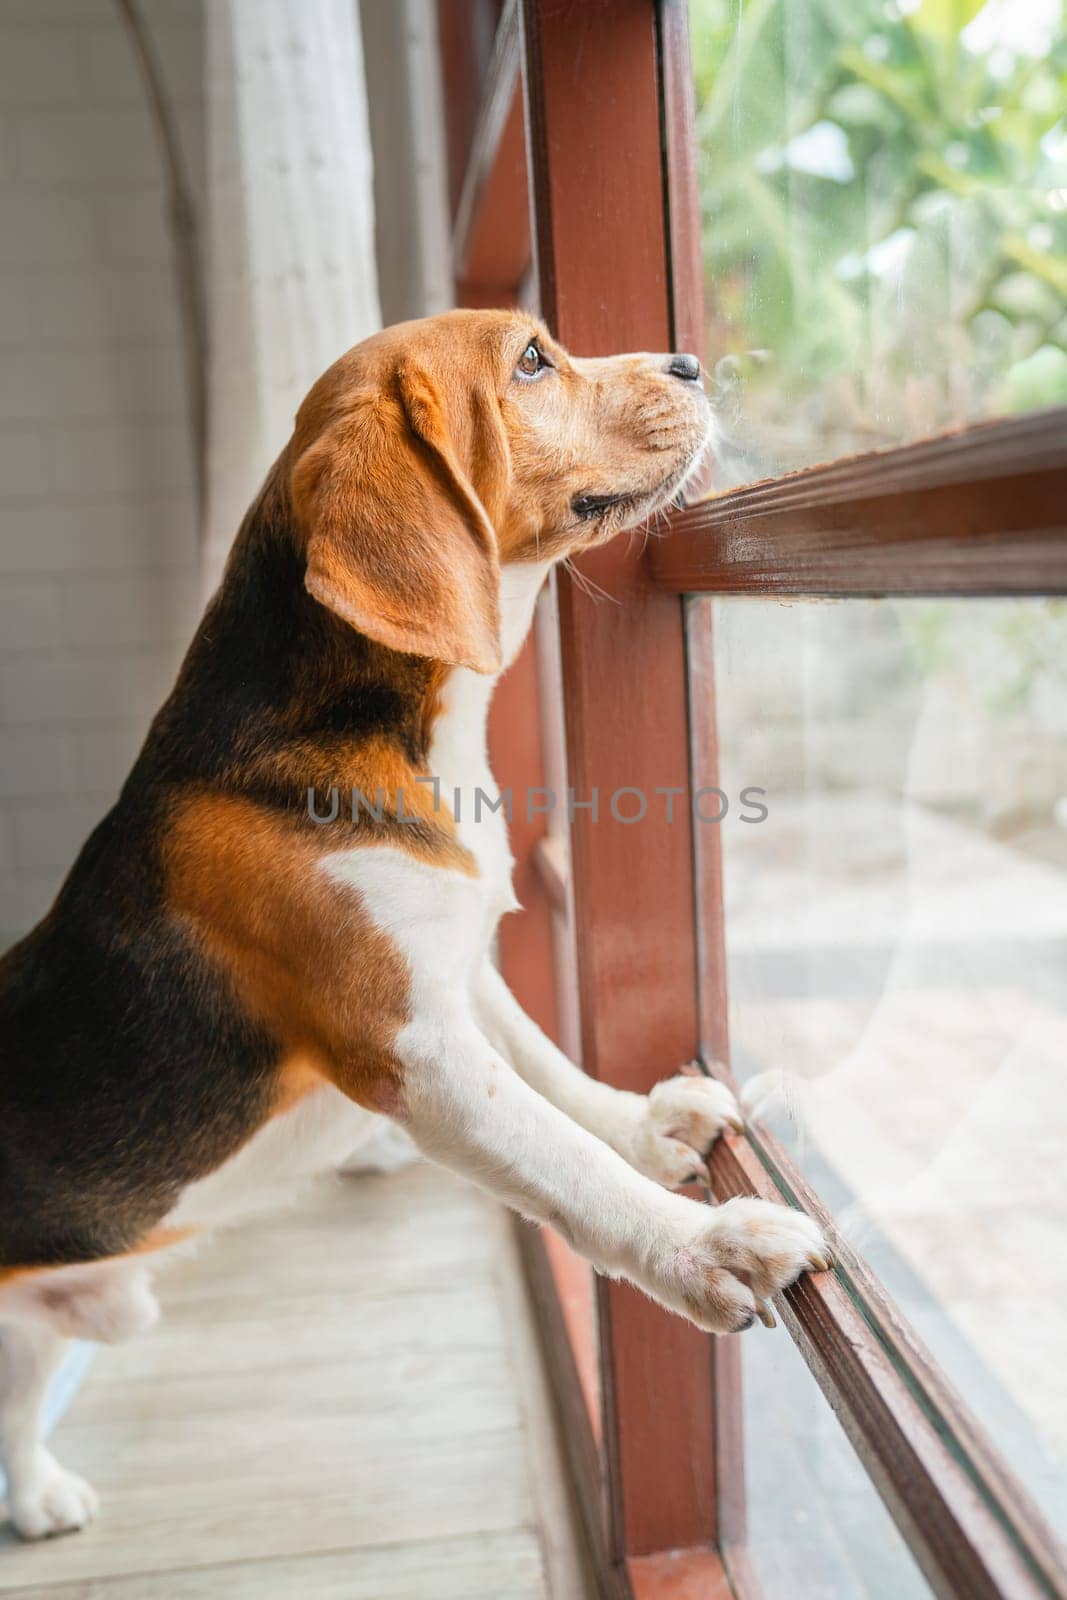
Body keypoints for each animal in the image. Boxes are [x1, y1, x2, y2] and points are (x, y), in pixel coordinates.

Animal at [0, 308, 831, 1536]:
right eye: (531, 361)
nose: (688, 361)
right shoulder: (409, 1050)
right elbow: (560, 1166)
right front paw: (699, 1246)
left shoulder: (461, 969)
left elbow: (549, 1075)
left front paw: (644, 1123)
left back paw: (41, 1491)